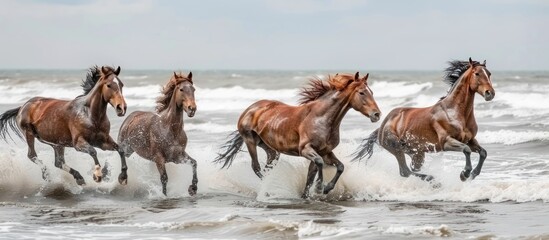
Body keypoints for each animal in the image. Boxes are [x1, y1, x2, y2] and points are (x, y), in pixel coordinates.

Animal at [215, 72, 382, 198]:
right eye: (362, 92)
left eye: (372, 92)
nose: (377, 114)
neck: (321, 118)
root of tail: (250, 108)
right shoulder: (306, 150)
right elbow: (319, 164)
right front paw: (320, 188)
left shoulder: (325, 151)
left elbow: (336, 168)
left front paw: (324, 189)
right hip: (250, 140)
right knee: (256, 167)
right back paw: (269, 190)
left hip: (271, 150)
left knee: (268, 167)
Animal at [354, 58, 494, 182]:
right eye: (477, 73)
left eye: (489, 74)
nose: (490, 93)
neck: (454, 112)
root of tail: (382, 126)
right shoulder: (446, 142)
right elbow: (466, 149)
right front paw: (464, 174)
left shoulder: (470, 140)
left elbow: (483, 153)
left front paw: (473, 174)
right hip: (396, 148)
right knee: (405, 171)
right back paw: (434, 180)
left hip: (416, 153)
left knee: (412, 169)